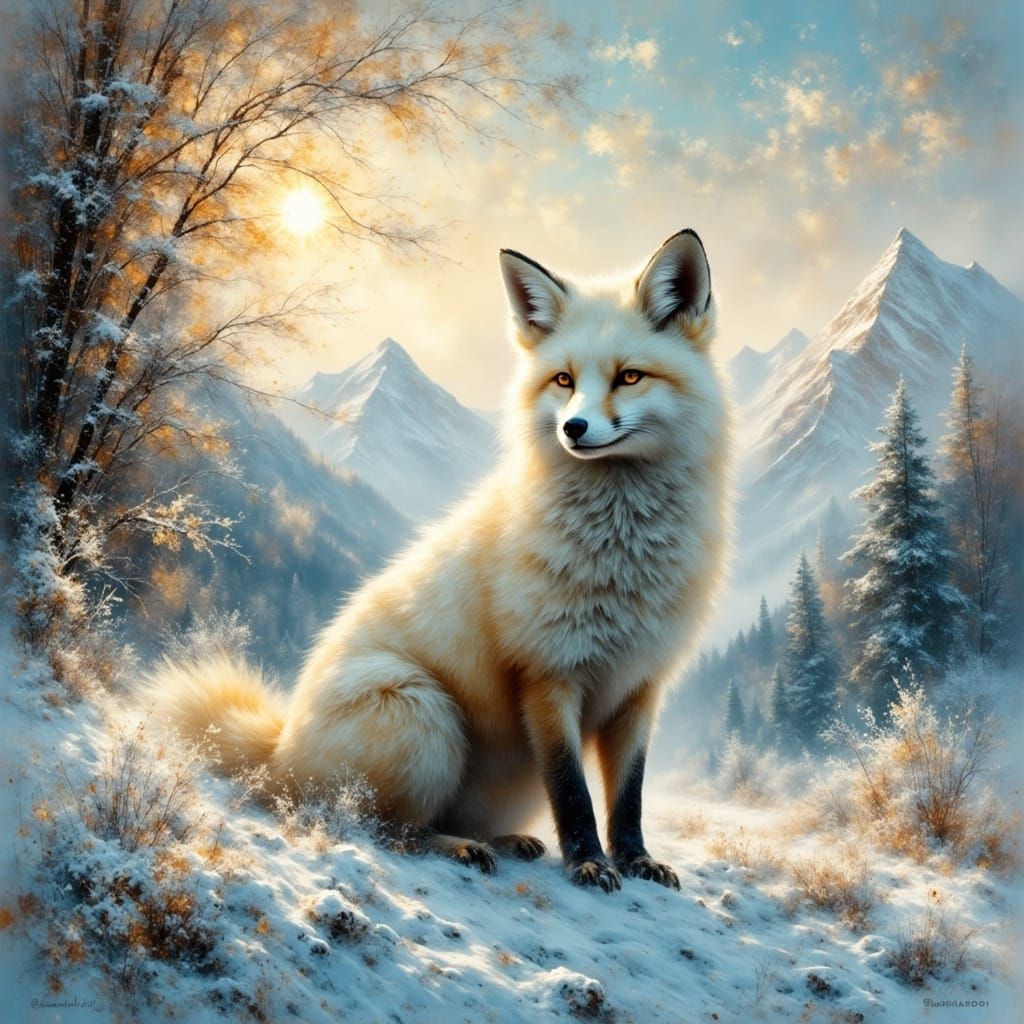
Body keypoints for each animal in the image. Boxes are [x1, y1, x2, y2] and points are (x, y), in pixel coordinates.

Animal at [150, 228, 732, 892]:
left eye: (629, 376)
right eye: (563, 380)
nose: (574, 428)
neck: (622, 558)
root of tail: (280, 752)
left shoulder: (640, 686)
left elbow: (627, 798)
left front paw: (635, 860)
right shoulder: (548, 675)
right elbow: (573, 793)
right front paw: (587, 862)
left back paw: (503, 840)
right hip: (424, 715)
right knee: (386, 831)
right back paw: (457, 847)